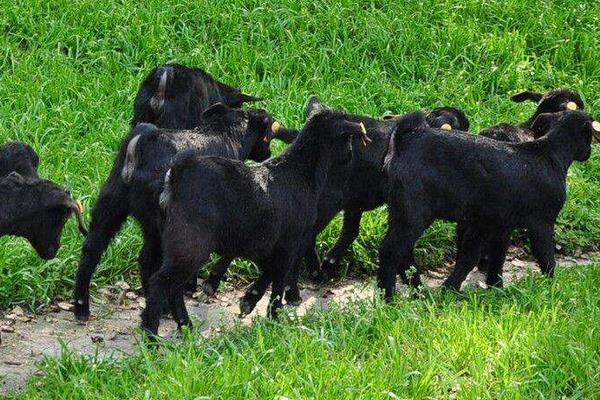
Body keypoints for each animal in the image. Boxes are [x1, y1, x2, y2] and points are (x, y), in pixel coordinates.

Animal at [72, 104, 290, 322]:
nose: (268, 153)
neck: (226, 135)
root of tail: (143, 143)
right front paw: (206, 285)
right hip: (158, 222)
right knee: (152, 261)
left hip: (111, 204)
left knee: (92, 249)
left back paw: (82, 308)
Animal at [142, 99, 370, 334]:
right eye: (348, 138)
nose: (351, 156)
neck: (299, 170)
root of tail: (176, 176)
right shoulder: (290, 240)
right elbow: (279, 279)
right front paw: (274, 316)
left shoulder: (270, 244)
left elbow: (271, 271)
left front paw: (251, 301)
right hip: (190, 243)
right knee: (161, 282)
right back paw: (151, 333)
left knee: (174, 286)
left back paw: (185, 325)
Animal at [380, 109, 600, 296]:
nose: (588, 152)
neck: (550, 152)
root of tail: (405, 140)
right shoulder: (542, 223)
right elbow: (546, 256)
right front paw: (552, 287)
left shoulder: (497, 225)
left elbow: (491, 256)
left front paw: (495, 287)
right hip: (415, 212)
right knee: (391, 251)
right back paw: (389, 296)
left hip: (402, 211)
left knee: (403, 252)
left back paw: (417, 291)